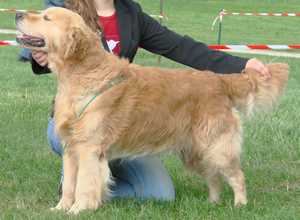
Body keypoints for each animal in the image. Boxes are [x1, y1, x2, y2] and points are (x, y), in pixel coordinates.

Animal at [15, 7, 288, 215]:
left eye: (46, 18)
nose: (17, 13)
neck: (81, 73)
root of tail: (219, 80)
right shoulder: (71, 148)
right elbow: (70, 184)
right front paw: (61, 208)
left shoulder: (89, 148)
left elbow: (84, 184)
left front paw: (78, 209)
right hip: (196, 150)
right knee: (214, 177)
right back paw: (213, 203)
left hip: (217, 145)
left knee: (236, 175)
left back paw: (240, 205)